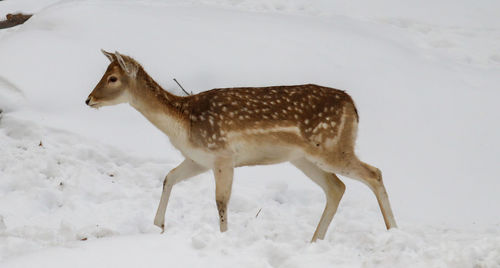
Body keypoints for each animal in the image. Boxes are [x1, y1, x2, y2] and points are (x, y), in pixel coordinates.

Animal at [87, 49, 398, 242]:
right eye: (104, 73)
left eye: (113, 78)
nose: (89, 100)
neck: (184, 124)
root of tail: (353, 106)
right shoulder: (198, 159)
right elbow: (169, 177)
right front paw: (158, 226)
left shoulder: (223, 155)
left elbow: (221, 201)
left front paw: (224, 237)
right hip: (303, 158)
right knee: (336, 187)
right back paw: (314, 241)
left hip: (332, 146)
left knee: (374, 173)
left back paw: (392, 231)